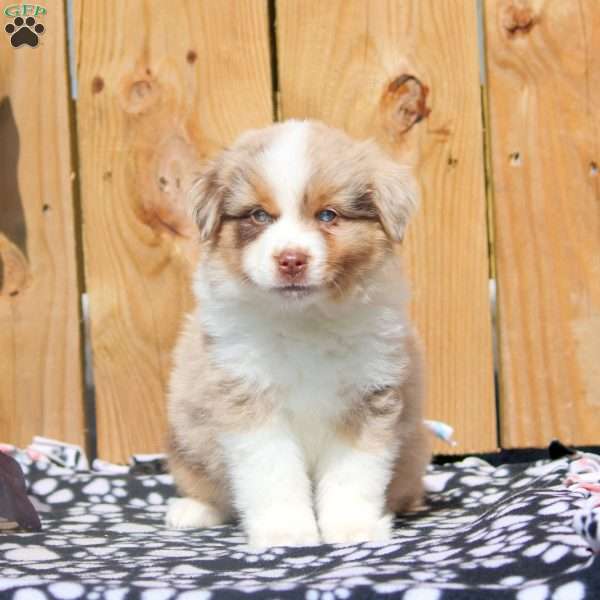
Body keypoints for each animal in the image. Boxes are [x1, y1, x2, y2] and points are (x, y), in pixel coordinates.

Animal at [164, 119, 428, 548]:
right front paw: (285, 531)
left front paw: (352, 527)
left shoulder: (368, 398)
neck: (304, 317)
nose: (291, 260)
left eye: (327, 215)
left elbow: (353, 475)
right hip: (187, 439)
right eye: (258, 215)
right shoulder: (248, 399)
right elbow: (272, 475)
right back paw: (192, 510)